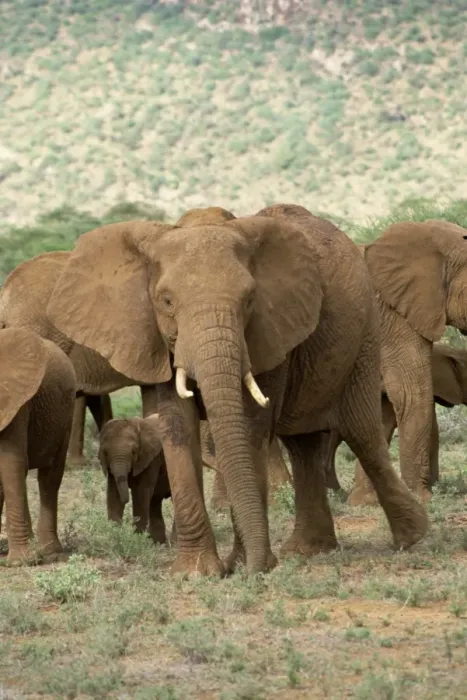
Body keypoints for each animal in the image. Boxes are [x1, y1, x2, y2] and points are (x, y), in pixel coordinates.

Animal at [0, 327, 76, 565]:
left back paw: (48, 552)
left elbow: (10, 464)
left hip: (65, 414)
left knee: (49, 478)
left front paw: (19, 562)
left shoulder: (16, 402)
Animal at [98, 415, 171, 544]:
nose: (126, 500)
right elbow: (113, 495)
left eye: (134, 451)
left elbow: (140, 494)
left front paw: (137, 541)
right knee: (155, 501)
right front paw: (114, 537)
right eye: (105, 452)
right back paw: (157, 543)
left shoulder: (151, 460)